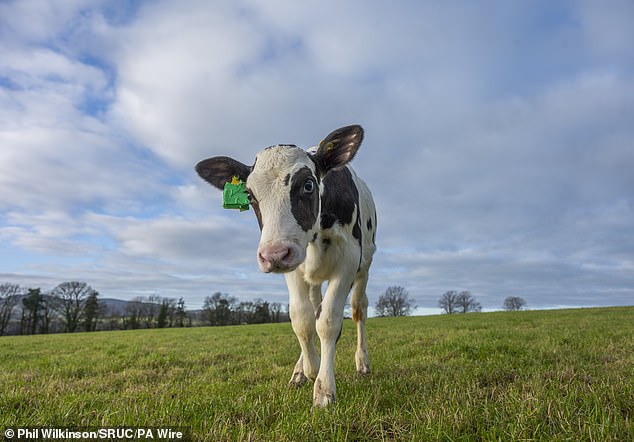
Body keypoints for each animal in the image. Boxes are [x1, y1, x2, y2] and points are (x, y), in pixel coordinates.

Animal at [195, 125, 376, 408]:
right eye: (250, 195)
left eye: (308, 184)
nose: (273, 255)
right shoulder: (293, 267)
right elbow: (302, 320)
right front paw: (310, 369)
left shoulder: (348, 258)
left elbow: (328, 321)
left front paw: (324, 389)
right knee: (313, 309)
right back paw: (300, 370)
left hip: (364, 266)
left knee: (358, 310)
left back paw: (362, 362)